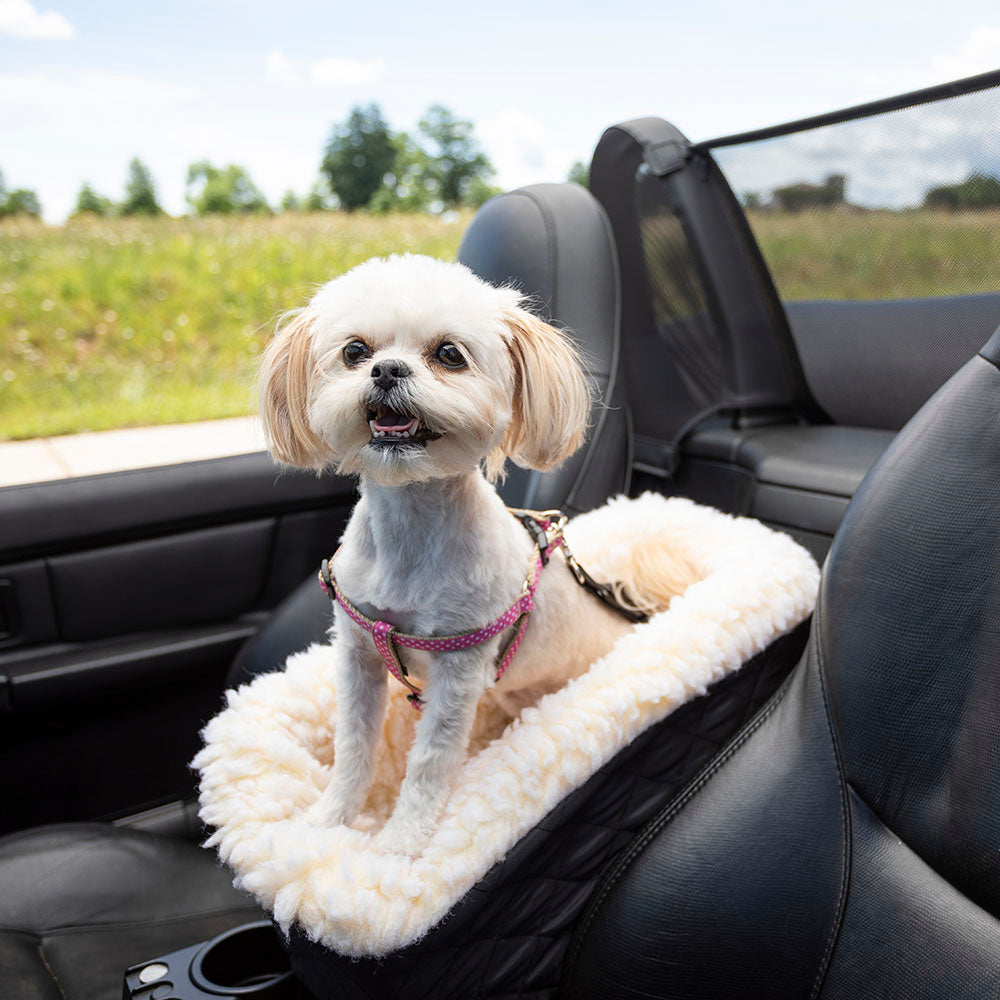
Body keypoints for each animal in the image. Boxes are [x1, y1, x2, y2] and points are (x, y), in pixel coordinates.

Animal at [258, 254, 696, 856]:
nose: (386, 370)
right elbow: (353, 746)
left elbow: (429, 762)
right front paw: (330, 821)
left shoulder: (459, 669)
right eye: (354, 351)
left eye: (449, 354)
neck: (409, 536)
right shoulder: (359, 653)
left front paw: (400, 845)